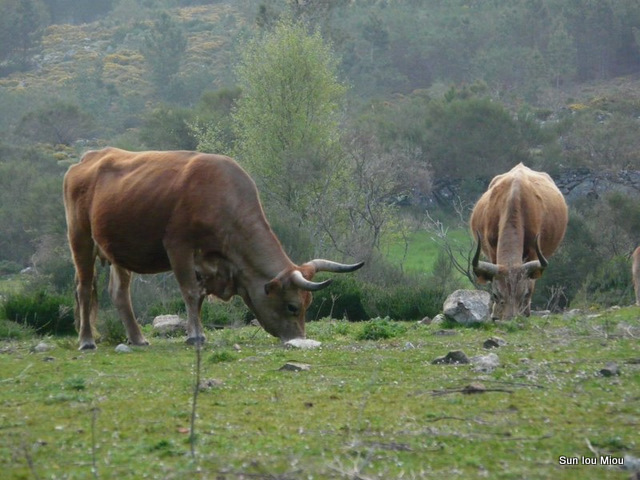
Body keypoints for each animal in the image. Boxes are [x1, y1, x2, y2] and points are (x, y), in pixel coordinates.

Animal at [63, 148, 364, 350]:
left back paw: (137, 338)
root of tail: (89, 158)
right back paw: (86, 340)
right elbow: (191, 293)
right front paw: (195, 335)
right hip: (80, 239)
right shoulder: (179, 248)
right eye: (292, 306)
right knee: (84, 288)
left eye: (308, 304)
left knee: (119, 293)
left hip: (119, 251)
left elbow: (199, 296)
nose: (299, 339)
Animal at [469, 163, 568, 320]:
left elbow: (531, 284)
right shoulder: (492, 251)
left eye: (523, 294)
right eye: (496, 295)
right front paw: (494, 313)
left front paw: (525, 312)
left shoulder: (533, 252)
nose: (511, 318)